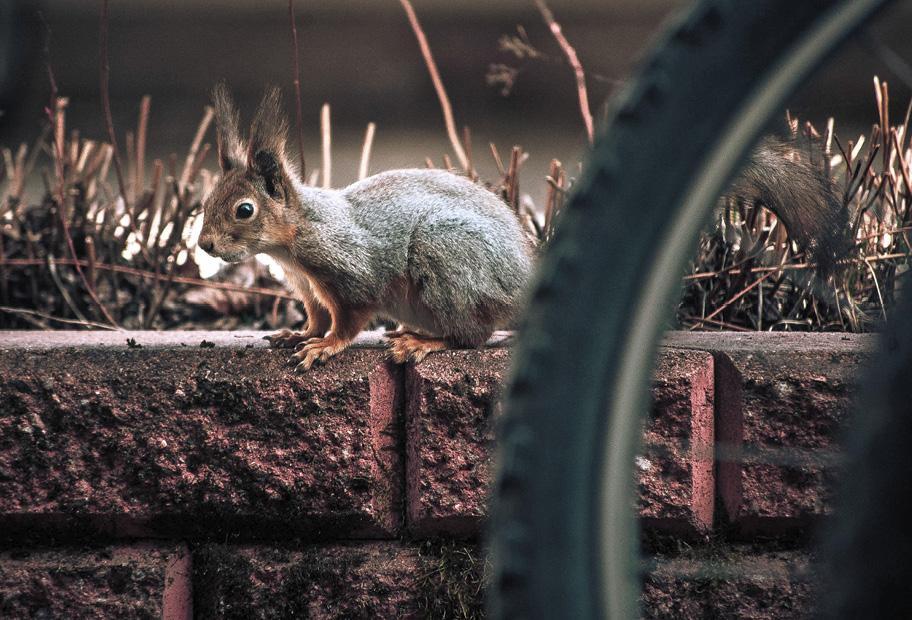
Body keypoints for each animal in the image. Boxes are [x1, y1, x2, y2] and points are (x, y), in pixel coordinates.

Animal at [198, 85, 848, 370]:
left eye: (244, 211)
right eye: (208, 200)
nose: (203, 244)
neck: (297, 242)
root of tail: (523, 285)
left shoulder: (350, 272)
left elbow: (351, 317)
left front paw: (326, 347)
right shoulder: (310, 289)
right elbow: (314, 314)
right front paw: (296, 334)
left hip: (445, 259)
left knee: (475, 336)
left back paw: (423, 341)